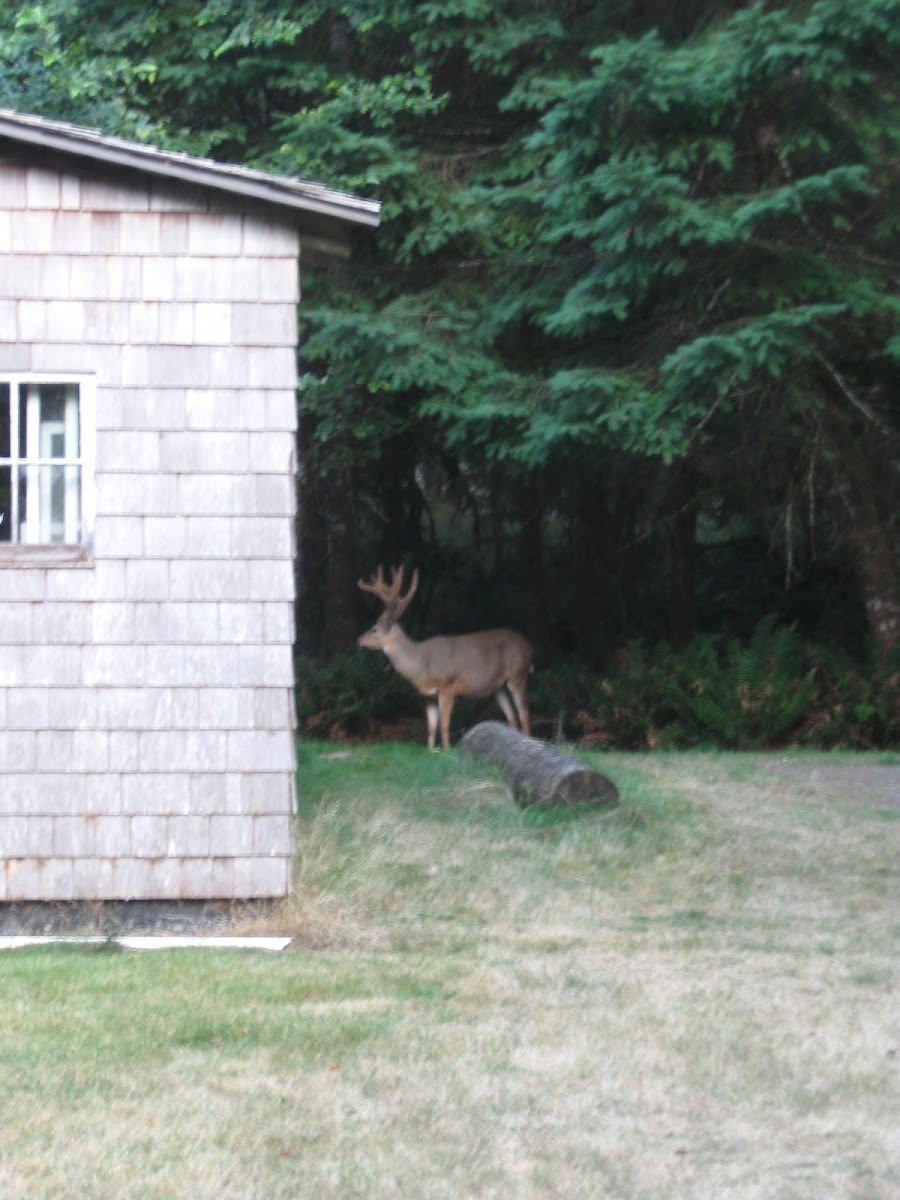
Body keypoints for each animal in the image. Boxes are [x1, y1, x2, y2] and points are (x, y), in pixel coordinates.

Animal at [355, 564, 532, 748]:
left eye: (374, 629)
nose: (358, 640)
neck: (420, 664)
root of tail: (528, 646)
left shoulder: (447, 685)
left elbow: (444, 724)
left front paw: (447, 750)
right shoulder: (427, 695)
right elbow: (431, 727)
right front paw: (431, 751)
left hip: (518, 674)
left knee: (524, 712)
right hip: (499, 687)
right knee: (512, 717)